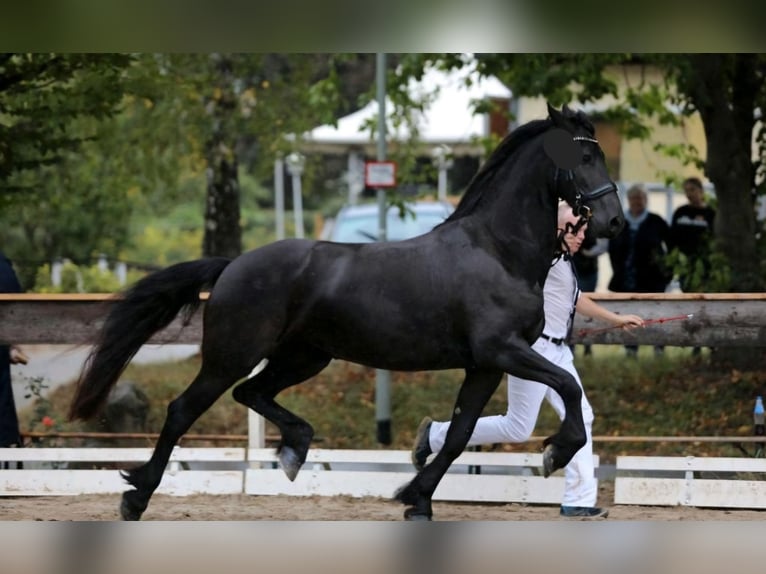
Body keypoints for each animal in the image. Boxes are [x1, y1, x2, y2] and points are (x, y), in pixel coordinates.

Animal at [70, 103, 624, 520]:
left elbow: (459, 434)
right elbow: (568, 386)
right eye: (583, 156)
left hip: (306, 356)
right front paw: (555, 451)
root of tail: (233, 265)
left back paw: (295, 449)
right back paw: (136, 496)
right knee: (185, 409)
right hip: (231, 354)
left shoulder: (484, 365)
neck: (499, 251)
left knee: (252, 392)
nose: (615, 222)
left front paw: (416, 500)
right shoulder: (502, 351)